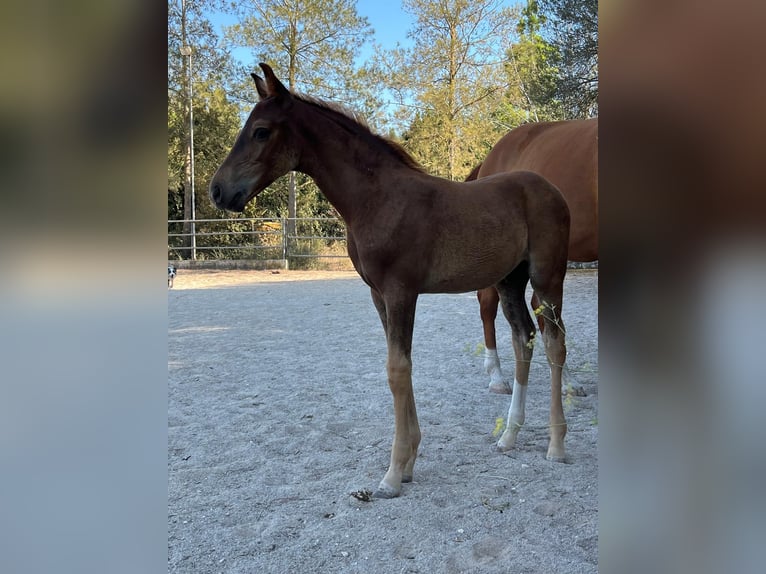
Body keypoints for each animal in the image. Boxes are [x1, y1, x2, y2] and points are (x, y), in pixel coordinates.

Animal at [208, 64, 568, 500]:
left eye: (261, 131)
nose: (218, 190)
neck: (375, 198)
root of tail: (552, 191)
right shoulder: (379, 295)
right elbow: (401, 367)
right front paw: (409, 462)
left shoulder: (401, 292)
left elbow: (397, 370)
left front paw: (393, 474)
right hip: (509, 282)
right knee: (523, 339)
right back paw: (509, 436)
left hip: (547, 278)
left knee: (555, 343)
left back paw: (556, 444)